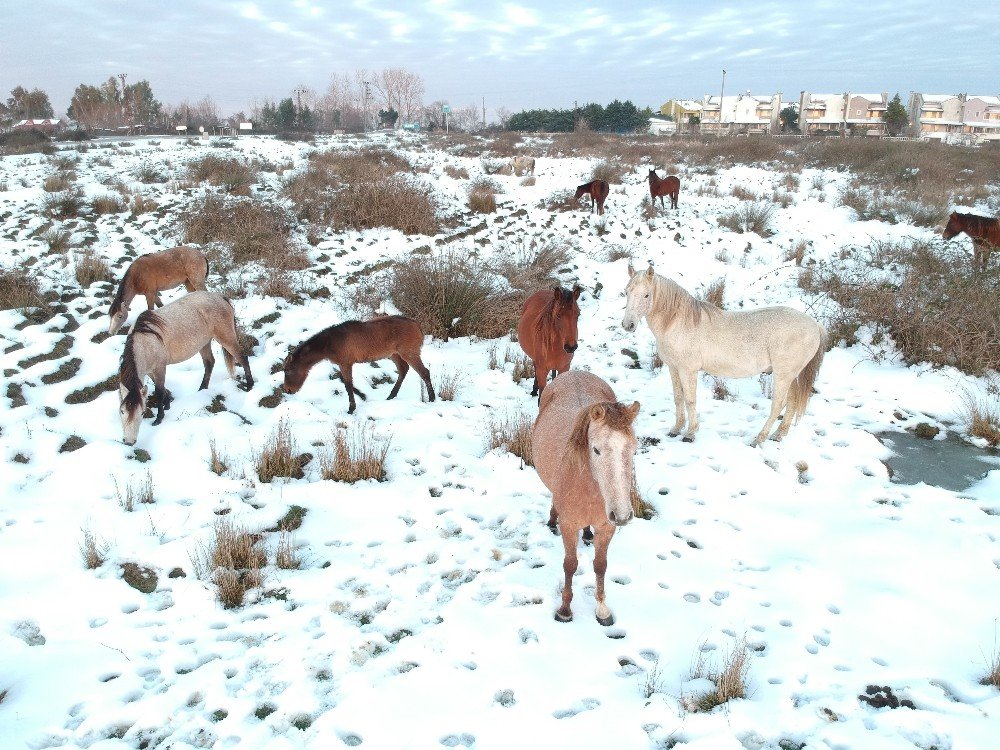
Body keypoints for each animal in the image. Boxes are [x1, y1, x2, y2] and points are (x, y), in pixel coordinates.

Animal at [118, 292, 254, 446]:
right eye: (122, 411)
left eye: (142, 412)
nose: (129, 442)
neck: (145, 341)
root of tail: (220, 297)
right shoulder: (151, 371)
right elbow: (161, 389)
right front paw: (167, 403)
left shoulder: (160, 368)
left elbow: (159, 391)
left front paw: (159, 418)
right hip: (204, 343)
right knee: (209, 363)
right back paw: (202, 389)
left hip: (226, 338)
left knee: (242, 358)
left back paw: (249, 385)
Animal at [284, 314, 436, 414]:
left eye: (288, 370)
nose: (287, 390)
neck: (330, 342)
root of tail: (417, 325)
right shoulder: (344, 364)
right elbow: (343, 380)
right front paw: (362, 396)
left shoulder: (346, 363)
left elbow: (347, 384)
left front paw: (351, 408)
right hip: (394, 354)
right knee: (403, 370)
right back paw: (391, 396)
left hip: (408, 353)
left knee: (424, 372)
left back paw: (432, 398)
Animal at [532, 372, 640, 628]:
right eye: (596, 450)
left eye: (633, 449)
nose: (622, 515)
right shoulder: (569, 526)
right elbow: (570, 565)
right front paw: (564, 610)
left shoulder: (607, 527)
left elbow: (601, 566)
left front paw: (602, 610)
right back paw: (552, 521)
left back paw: (588, 534)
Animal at [620, 262, 824, 444]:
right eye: (627, 292)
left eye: (646, 295)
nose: (628, 325)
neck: (678, 322)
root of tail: (815, 325)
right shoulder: (674, 368)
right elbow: (678, 398)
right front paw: (675, 430)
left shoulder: (688, 370)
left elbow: (690, 400)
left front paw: (690, 434)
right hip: (790, 376)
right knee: (792, 401)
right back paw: (778, 435)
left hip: (783, 375)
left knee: (778, 405)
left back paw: (759, 439)